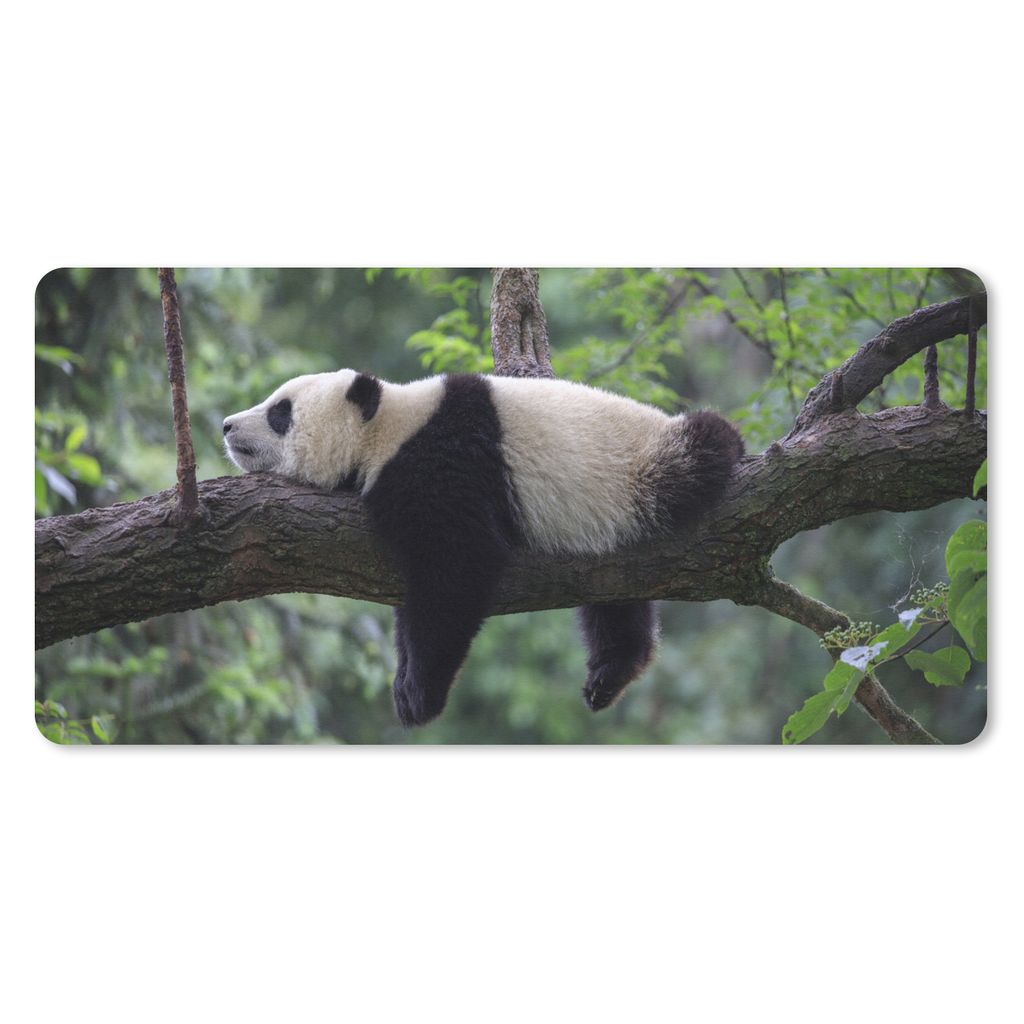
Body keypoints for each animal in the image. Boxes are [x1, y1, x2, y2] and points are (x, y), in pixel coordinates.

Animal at [223, 370, 744, 727]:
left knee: (702, 448)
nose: (227, 425)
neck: (388, 427)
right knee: (615, 600)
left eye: (280, 412)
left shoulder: (444, 465)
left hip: (644, 469)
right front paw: (405, 681)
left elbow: (457, 569)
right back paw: (610, 674)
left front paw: (419, 694)